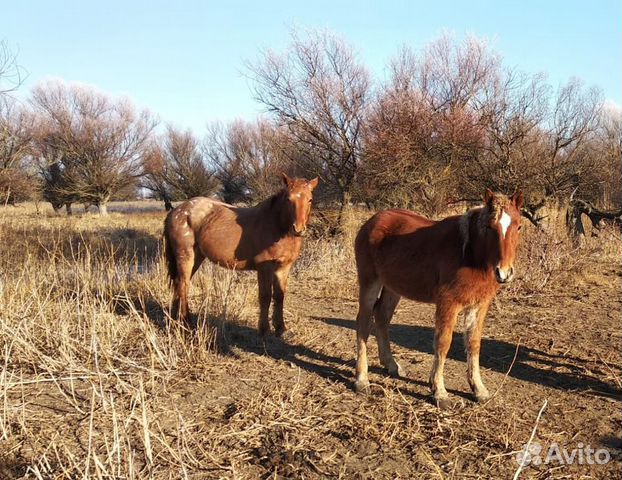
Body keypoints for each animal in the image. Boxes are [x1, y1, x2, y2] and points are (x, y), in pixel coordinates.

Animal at [163, 174, 320, 336]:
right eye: (289, 199)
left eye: (310, 199)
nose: (298, 229)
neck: (277, 226)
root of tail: (177, 211)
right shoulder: (264, 267)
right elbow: (265, 297)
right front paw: (264, 330)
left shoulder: (284, 267)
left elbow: (279, 296)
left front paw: (281, 328)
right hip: (185, 256)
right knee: (183, 284)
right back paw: (186, 322)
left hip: (197, 257)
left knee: (179, 283)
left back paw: (175, 319)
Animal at [354, 189, 524, 406]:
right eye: (488, 227)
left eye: (519, 226)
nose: (504, 272)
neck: (469, 253)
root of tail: (372, 221)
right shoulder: (448, 303)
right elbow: (443, 342)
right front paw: (439, 392)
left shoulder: (479, 305)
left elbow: (473, 343)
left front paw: (479, 390)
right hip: (370, 281)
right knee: (364, 323)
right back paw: (362, 380)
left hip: (393, 287)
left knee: (382, 317)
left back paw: (392, 365)